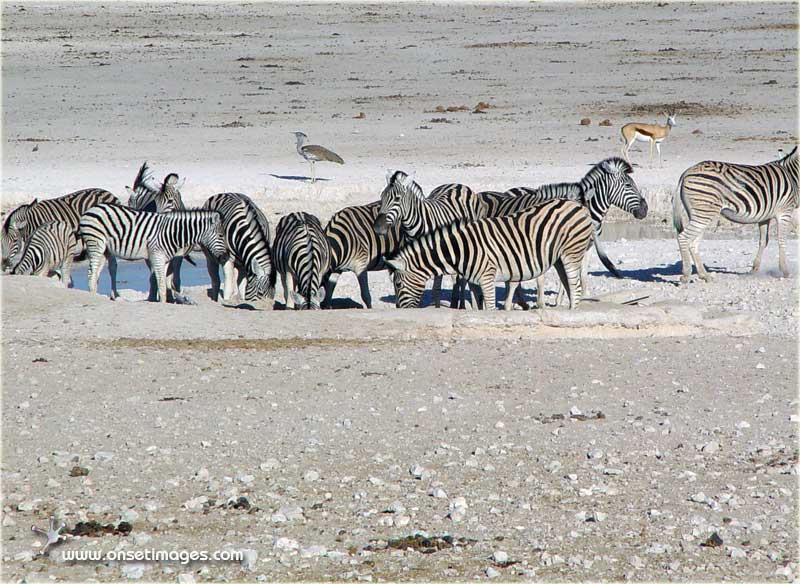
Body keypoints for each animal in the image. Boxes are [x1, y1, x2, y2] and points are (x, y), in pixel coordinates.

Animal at [78, 203, 227, 302]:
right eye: (221, 235)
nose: (225, 256)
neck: (173, 233)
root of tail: (92, 208)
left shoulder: (165, 260)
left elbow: (163, 283)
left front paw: (163, 301)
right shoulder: (157, 256)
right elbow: (161, 283)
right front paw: (162, 303)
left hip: (105, 250)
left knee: (96, 274)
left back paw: (96, 296)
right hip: (95, 243)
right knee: (91, 273)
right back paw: (93, 298)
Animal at [370, 171, 488, 308]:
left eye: (397, 199)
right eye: (381, 197)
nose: (377, 228)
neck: (414, 228)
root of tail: (458, 185)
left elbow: (436, 289)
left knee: (461, 280)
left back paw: (460, 305)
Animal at [384, 200, 596, 310]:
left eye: (398, 284)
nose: (399, 310)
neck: (460, 250)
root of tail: (579, 205)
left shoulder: (487, 276)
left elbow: (491, 307)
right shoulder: (475, 280)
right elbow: (480, 305)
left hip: (571, 253)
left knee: (575, 287)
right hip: (559, 258)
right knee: (569, 286)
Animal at [676, 146, 800, 282]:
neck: (792, 174)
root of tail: (686, 172)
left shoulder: (764, 217)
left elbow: (763, 241)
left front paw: (754, 269)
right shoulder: (785, 212)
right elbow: (782, 240)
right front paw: (785, 271)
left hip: (700, 214)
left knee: (693, 243)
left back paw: (705, 275)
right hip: (703, 214)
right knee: (683, 238)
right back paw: (686, 275)